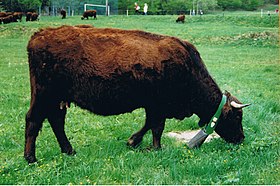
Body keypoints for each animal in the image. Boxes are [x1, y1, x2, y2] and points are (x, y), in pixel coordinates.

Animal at [24, 24, 249, 163]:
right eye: (237, 117)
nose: (241, 138)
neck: (188, 67)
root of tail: (39, 35)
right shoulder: (158, 105)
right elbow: (156, 127)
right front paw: (155, 148)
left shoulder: (153, 106)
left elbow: (150, 124)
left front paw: (133, 141)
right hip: (44, 96)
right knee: (34, 120)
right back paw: (31, 158)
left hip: (57, 99)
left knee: (56, 121)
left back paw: (69, 150)